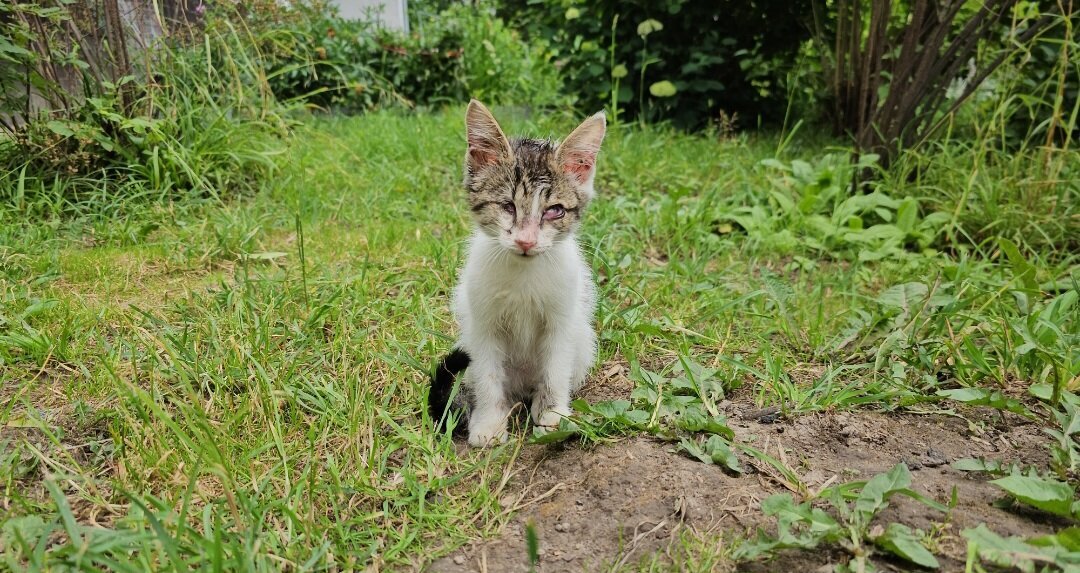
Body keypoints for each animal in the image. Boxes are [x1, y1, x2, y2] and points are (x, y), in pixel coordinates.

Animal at [429, 100, 609, 446]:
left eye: (555, 211)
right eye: (507, 206)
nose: (526, 241)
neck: (523, 275)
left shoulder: (562, 320)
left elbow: (555, 370)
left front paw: (553, 415)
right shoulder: (482, 324)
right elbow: (488, 376)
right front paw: (489, 423)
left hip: (582, 339)